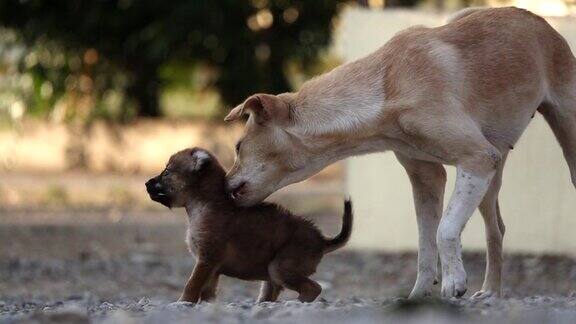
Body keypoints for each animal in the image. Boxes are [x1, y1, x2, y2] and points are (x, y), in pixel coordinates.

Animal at [144, 147, 352, 304]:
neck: (203, 204)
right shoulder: (211, 266)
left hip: (281, 266)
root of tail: (322, 240)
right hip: (272, 272)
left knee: (313, 288)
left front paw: (183, 302)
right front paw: (206, 304)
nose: (146, 183)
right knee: (272, 291)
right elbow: (207, 289)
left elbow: (192, 284)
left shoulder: (206, 259)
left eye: (167, 172)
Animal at [223, 6, 572, 298]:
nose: (224, 186)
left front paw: (454, 282)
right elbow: (426, 245)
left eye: (238, 146)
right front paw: (419, 296)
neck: (387, 85)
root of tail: (542, 22)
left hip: (558, 139)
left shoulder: (476, 158)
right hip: (490, 177)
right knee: (496, 230)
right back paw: (491, 292)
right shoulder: (428, 178)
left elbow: (445, 230)